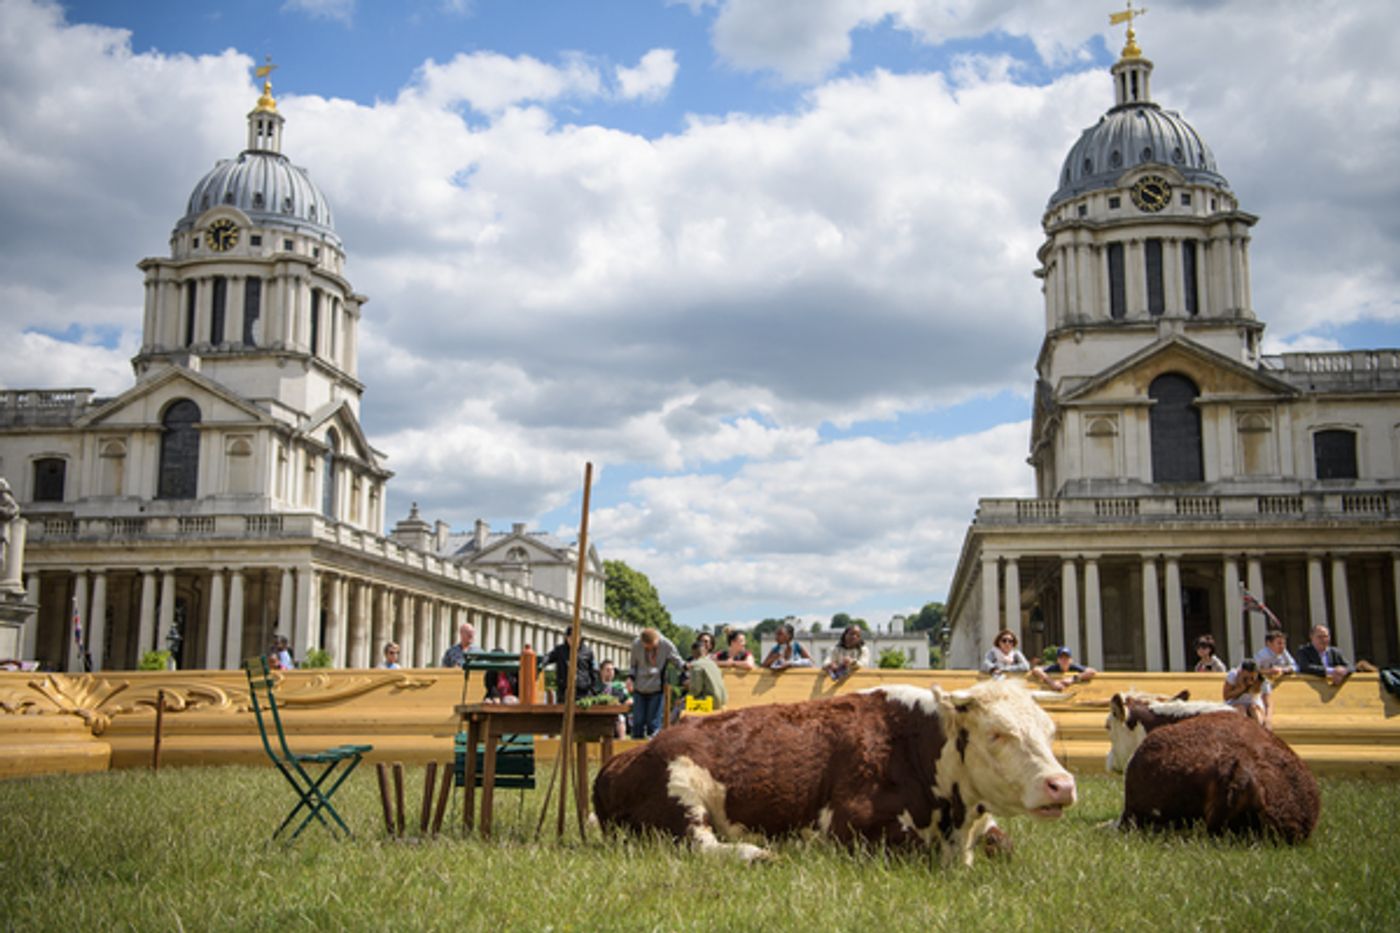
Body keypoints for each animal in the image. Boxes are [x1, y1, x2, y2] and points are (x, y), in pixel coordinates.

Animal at [591, 680, 1076, 865]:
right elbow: (919, 851)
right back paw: (759, 854)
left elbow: (1004, 845)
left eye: (1050, 731)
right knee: (699, 844)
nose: (1062, 785)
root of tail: (621, 759)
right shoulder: (851, 826)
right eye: (997, 733)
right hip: (680, 793)